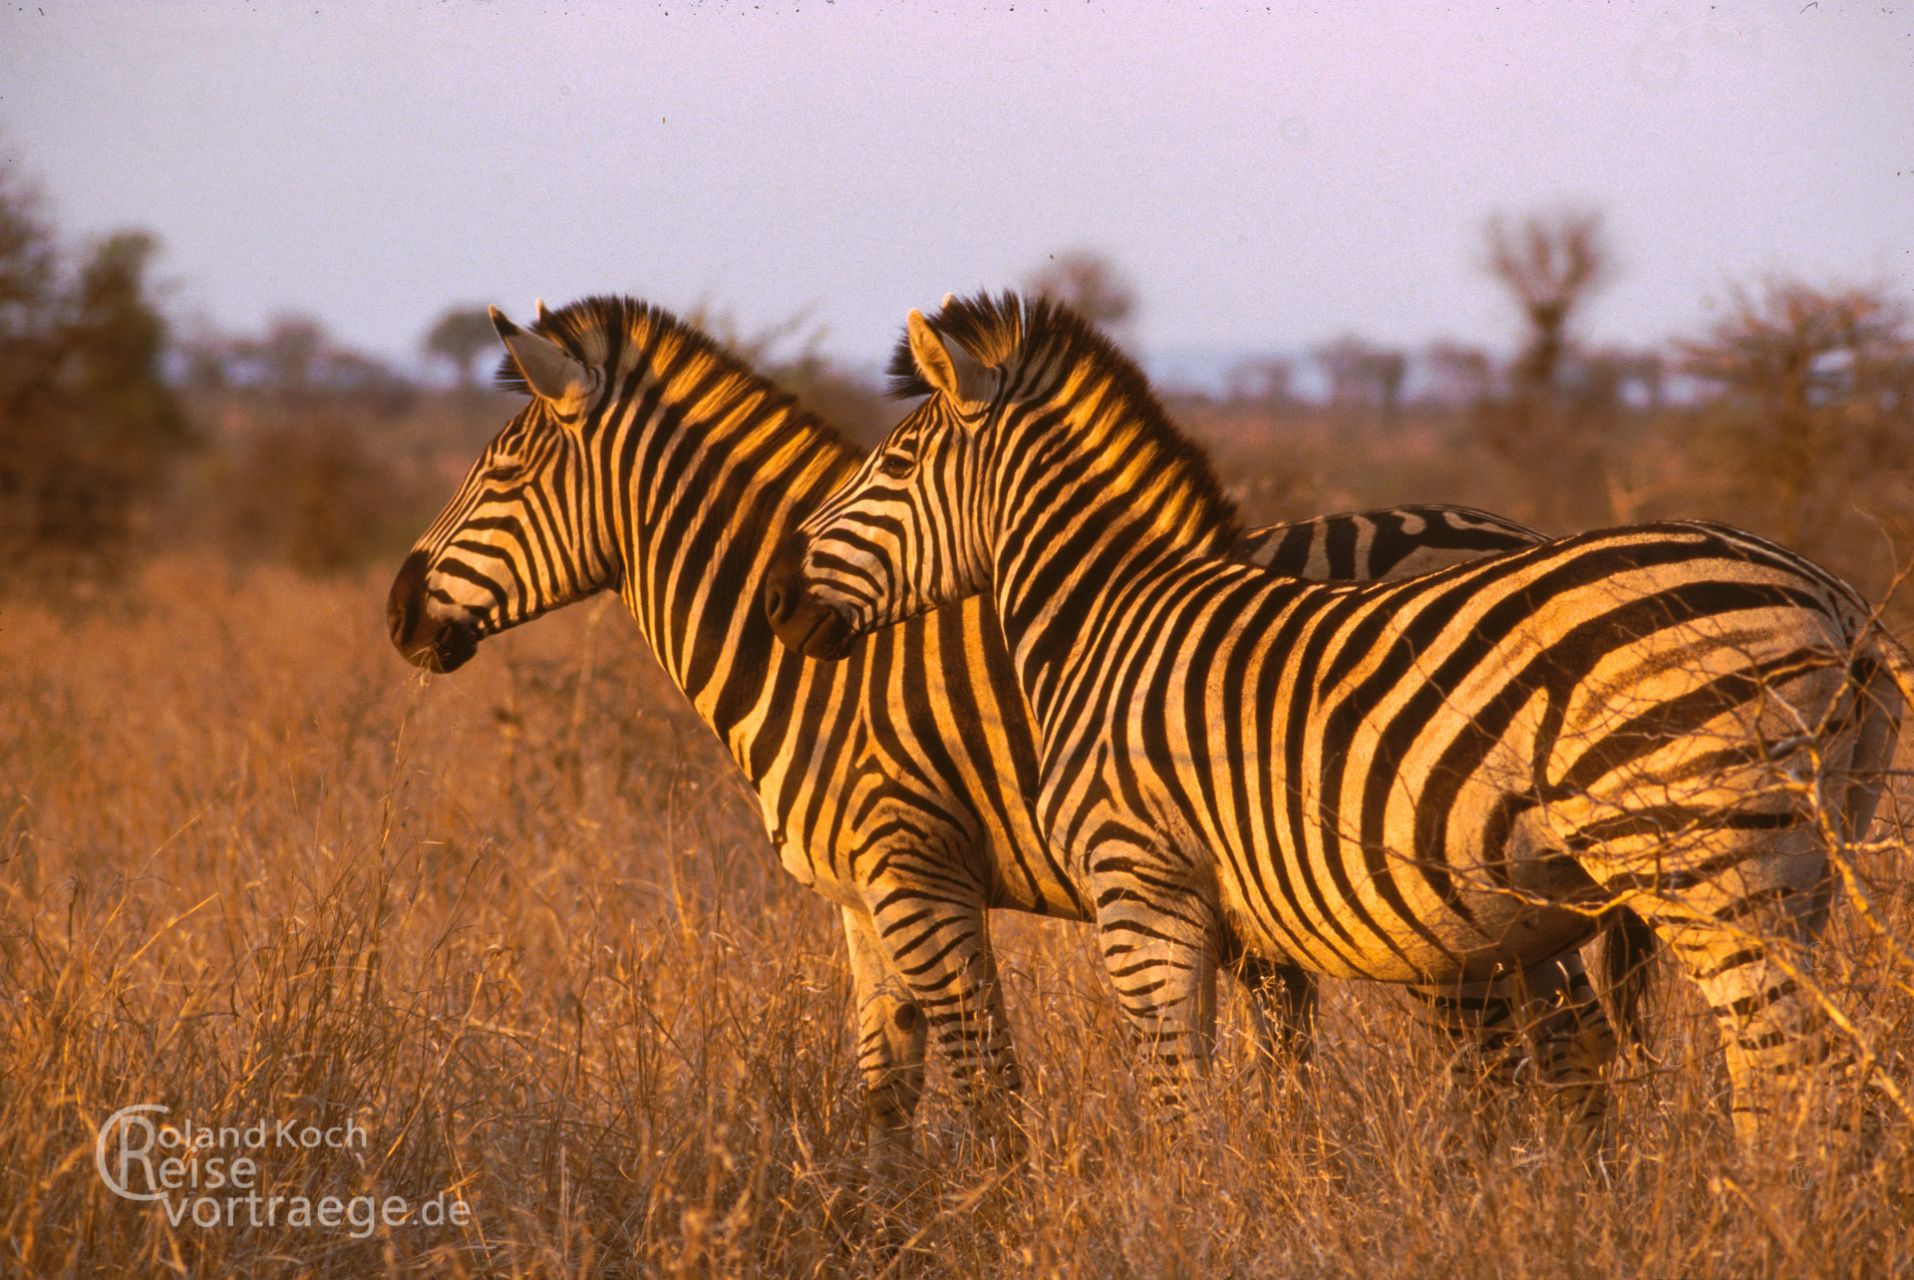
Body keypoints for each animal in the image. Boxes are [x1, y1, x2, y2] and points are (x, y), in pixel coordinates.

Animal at [388, 296, 1630, 1147]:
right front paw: (885, 1228)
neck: (825, 670)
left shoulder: (918, 872)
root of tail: (1513, 532)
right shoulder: (858, 899)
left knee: (1544, 1052)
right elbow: (885, 1094)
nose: (398, 612)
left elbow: (989, 1087)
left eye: (501, 474)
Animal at [765, 294, 1914, 1140]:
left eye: (892, 465)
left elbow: (1175, 1104)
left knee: (1791, 1072)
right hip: (1802, 867)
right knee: (1822, 1071)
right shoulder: (1229, 919)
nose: (777, 600)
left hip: (1713, 865)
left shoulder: (1141, 886)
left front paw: (1179, 1228)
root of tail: (1838, 603)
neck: (1105, 616)